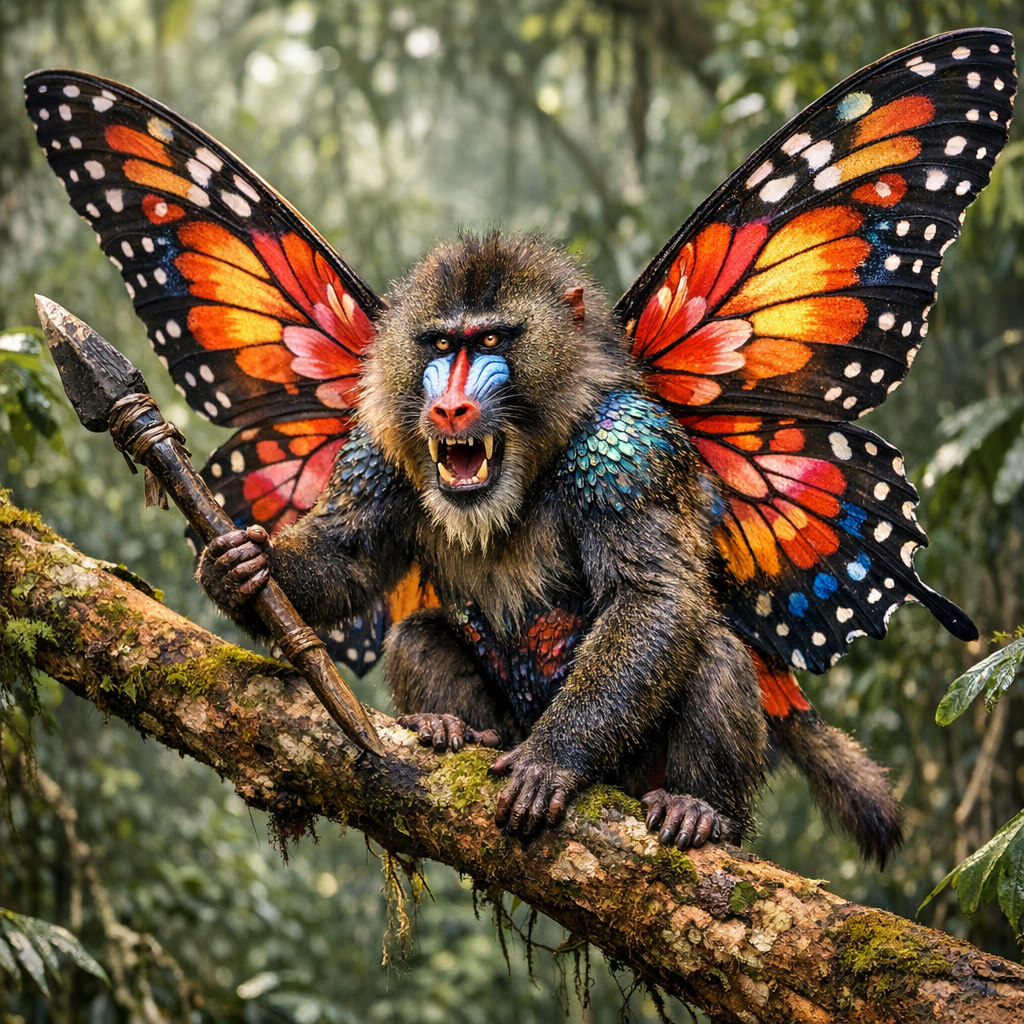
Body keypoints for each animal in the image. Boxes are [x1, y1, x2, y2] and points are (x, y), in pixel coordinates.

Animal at [200, 233, 769, 850]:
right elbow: (347, 555)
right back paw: (450, 727)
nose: (450, 407)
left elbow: (652, 594)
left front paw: (552, 759)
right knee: (416, 635)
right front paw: (243, 566)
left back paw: (700, 809)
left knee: (716, 650)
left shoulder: (630, 449)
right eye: (443, 343)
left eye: (491, 340)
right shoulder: (381, 443)